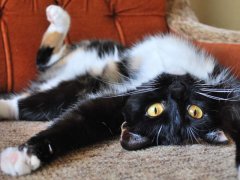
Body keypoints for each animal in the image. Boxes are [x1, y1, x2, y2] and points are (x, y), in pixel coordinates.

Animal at [0, 4, 240, 178]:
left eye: (194, 111)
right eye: (155, 109)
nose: (177, 88)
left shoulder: (118, 106)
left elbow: (82, 119)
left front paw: (23, 158)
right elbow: (83, 117)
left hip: (80, 83)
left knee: (38, 100)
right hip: (98, 55)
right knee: (47, 60)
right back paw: (58, 18)